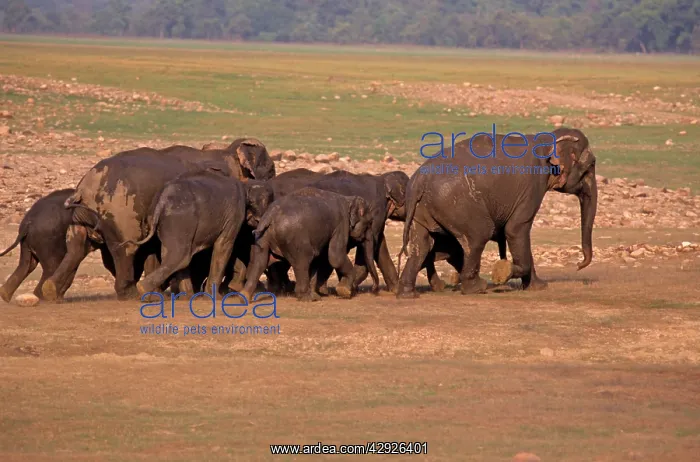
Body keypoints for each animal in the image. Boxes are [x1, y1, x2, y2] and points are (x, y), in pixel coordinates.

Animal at [42, 137, 275, 301]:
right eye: (272, 171)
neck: (228, 153)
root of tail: (86, 187)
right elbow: (230, 244)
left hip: (81, 216)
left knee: (76, 247)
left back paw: (52, 292)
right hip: (122, 212)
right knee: (126, 249)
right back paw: (131, 293)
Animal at [240, 187, 378, 302]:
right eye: (370, 222)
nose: (374, 290)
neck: (348, 199)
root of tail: (269, 215)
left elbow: (320, 259)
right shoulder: (341, 224)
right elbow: (335, 258)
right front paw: (344, 291)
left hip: (261, 238)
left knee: (259, 262)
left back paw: (244, 297)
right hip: (295, 240)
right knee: (302, 262)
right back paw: (309, 297)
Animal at [397, 127, 597, 298]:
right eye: (591, 165)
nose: (579, 265)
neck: (546, 139)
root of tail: (419, 180)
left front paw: (538, 287)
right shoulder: (532, 187)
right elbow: (516, 229)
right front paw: (503, 273)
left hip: (421, 211)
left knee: (423, 245)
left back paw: (408, 294)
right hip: (457, 205)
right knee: (477, 236)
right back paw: (476, 288)